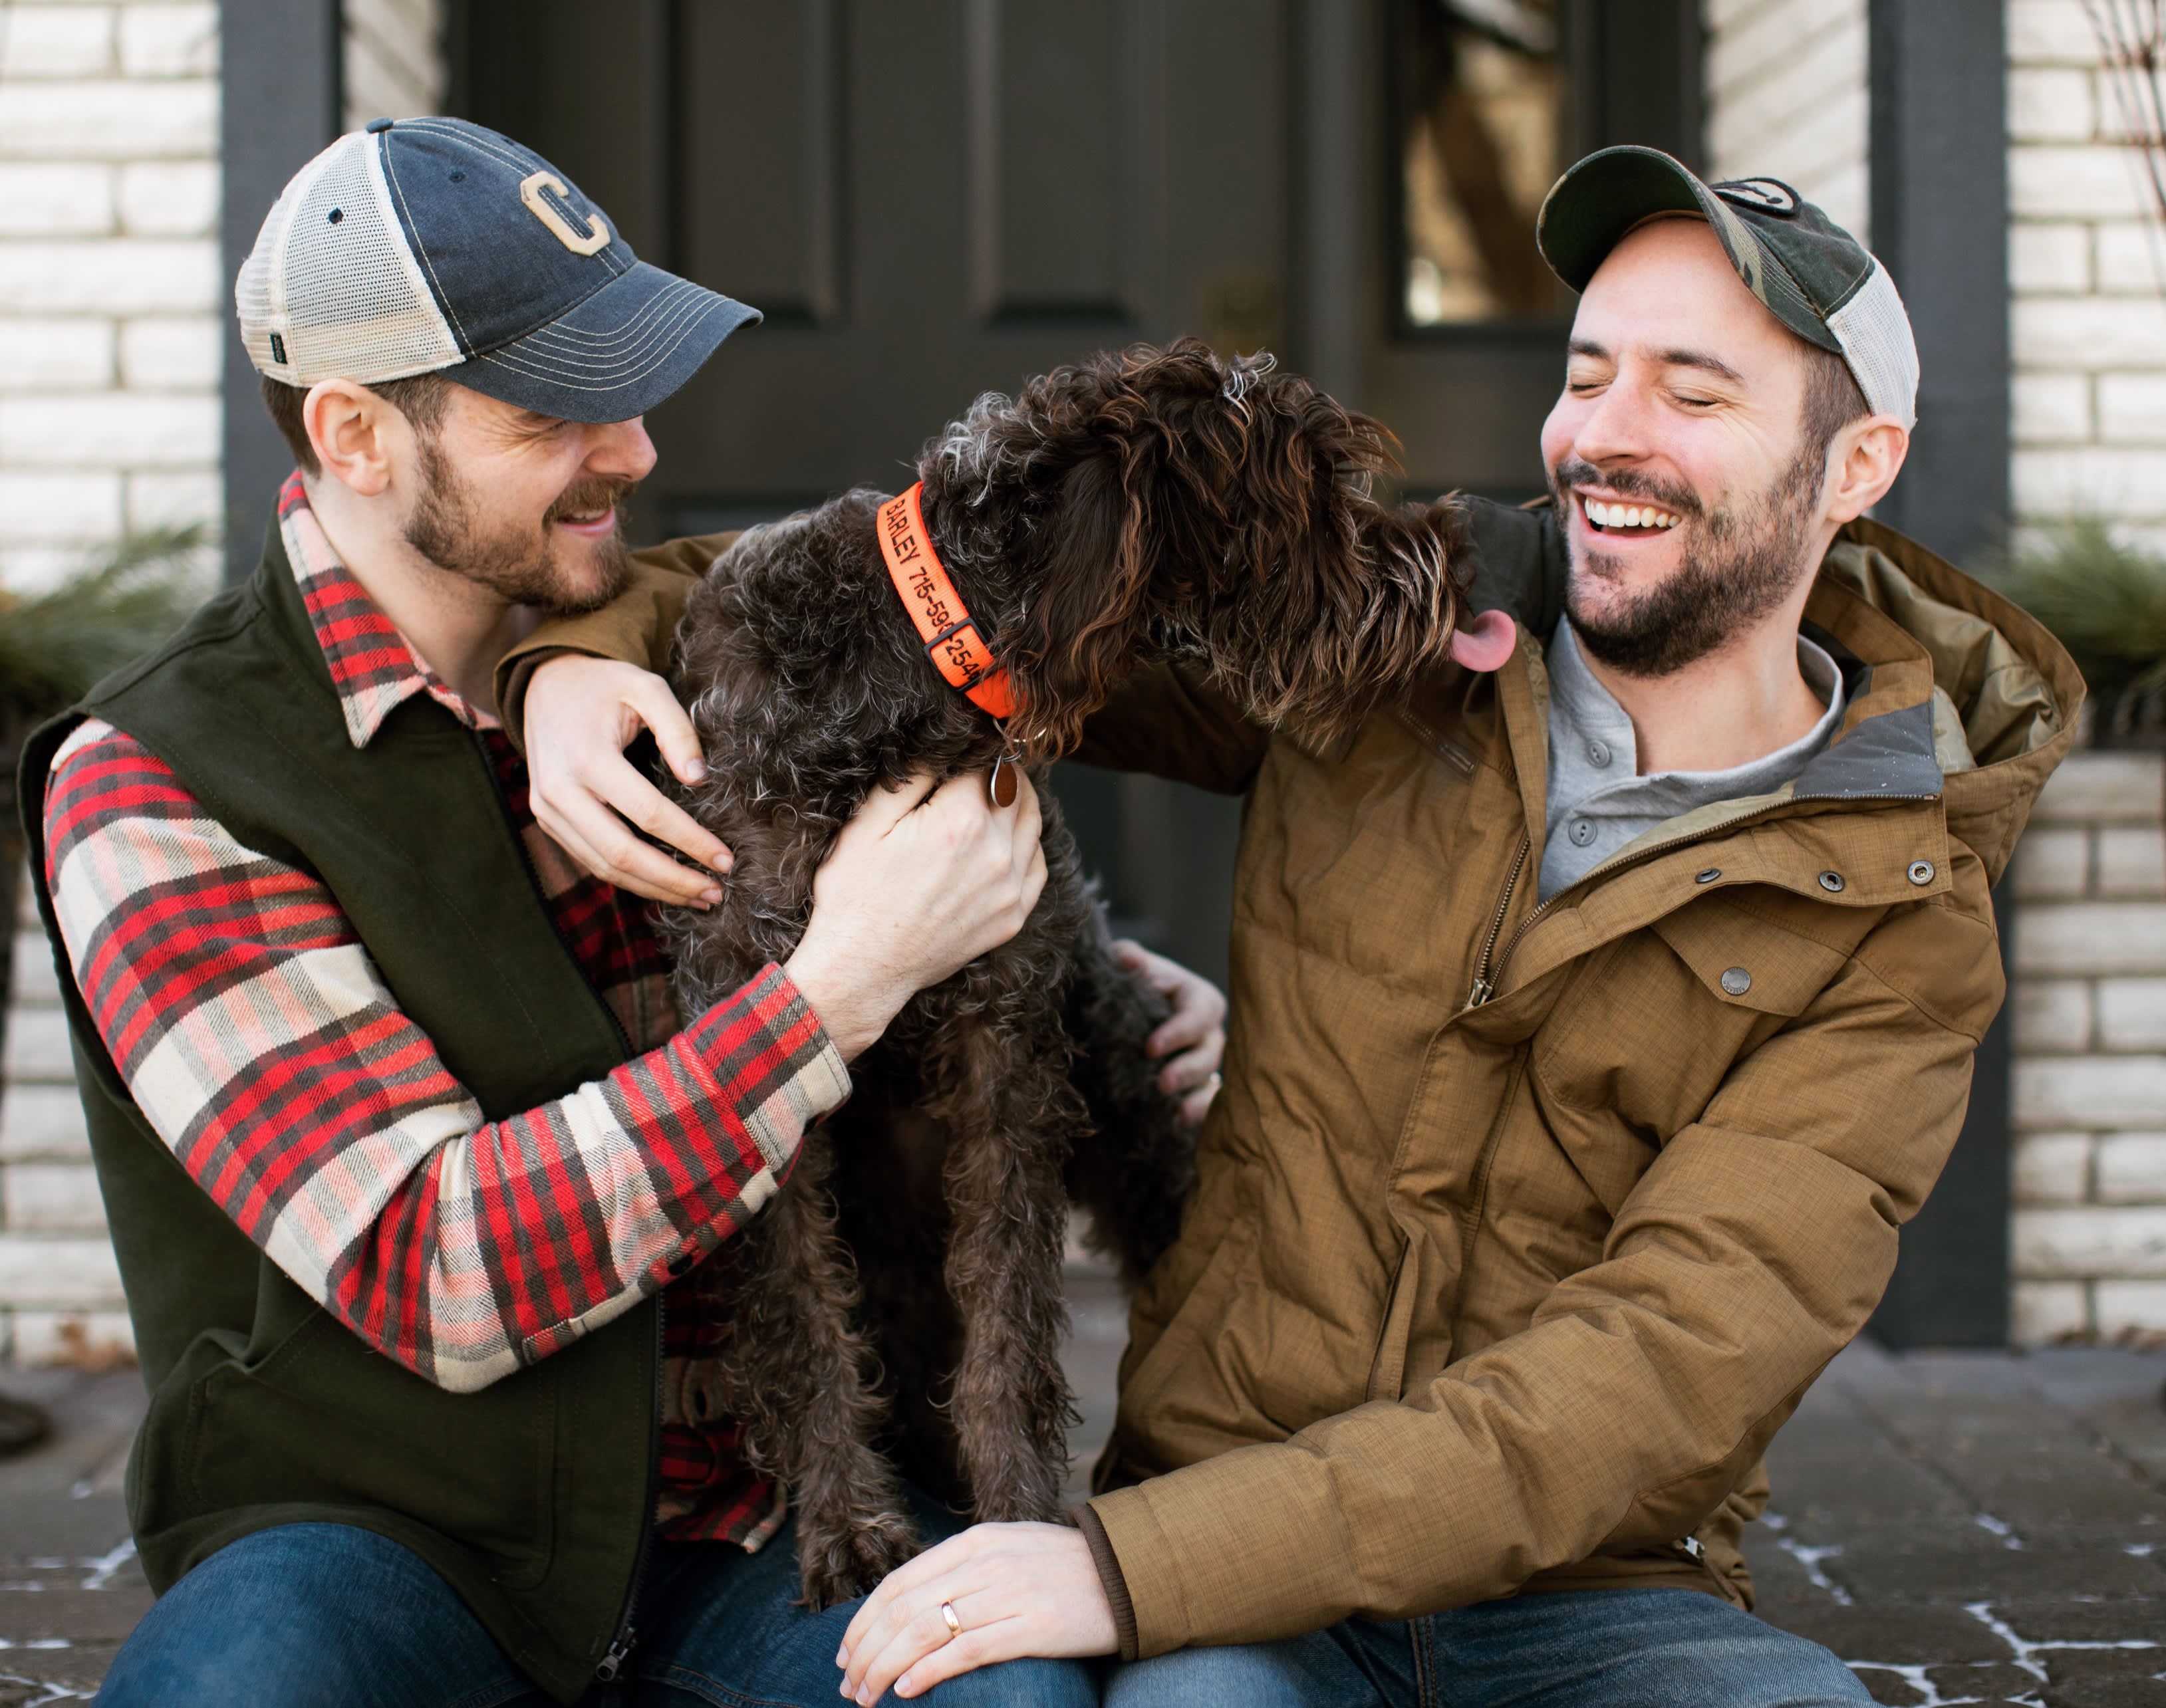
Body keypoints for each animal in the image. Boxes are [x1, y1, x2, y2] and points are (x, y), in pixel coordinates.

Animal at [658, 340, 1472, 1602]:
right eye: (1313, 485)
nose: (1448, 555)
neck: (910, 661)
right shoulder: (759, 1045)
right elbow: (801, 1319)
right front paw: (847, 1525)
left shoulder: (1005, 1051)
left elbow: (1008, 1318)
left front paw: (1018, 1527)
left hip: (1125, 1095)